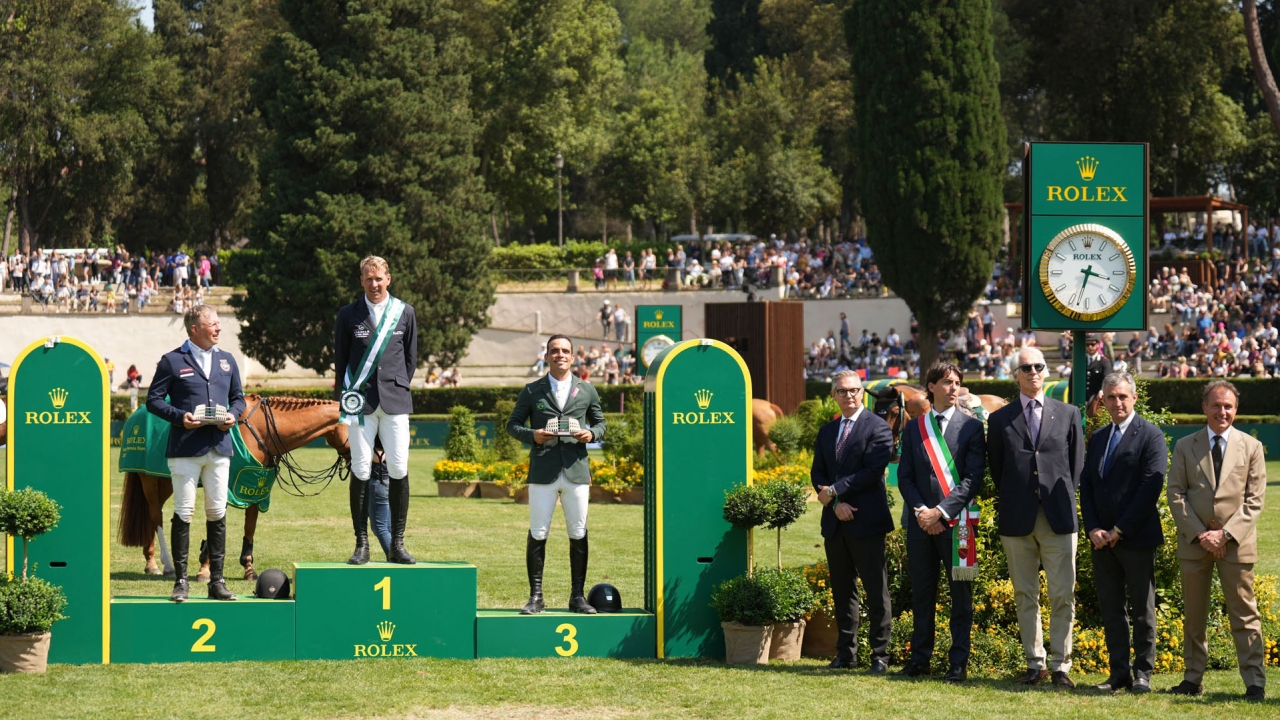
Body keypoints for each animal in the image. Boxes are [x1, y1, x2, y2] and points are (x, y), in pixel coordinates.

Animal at [119, 394, 348, 579]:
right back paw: (165, 564)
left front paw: (248, 568)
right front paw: (205, 569)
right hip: (148, 479)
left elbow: (249, 529)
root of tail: (136, 413)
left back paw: (151, 563)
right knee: (155, 516)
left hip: (167, 480)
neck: (260, 430)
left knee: (153, 516)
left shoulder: (256, 489)